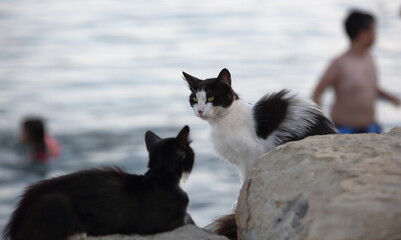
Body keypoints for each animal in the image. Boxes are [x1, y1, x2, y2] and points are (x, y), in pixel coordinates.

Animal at [183, 68, 336, 179]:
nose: (200, 111)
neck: (222, 121)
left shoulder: (253, 154)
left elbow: (246, 178)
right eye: (194, 99)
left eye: (211, 98)